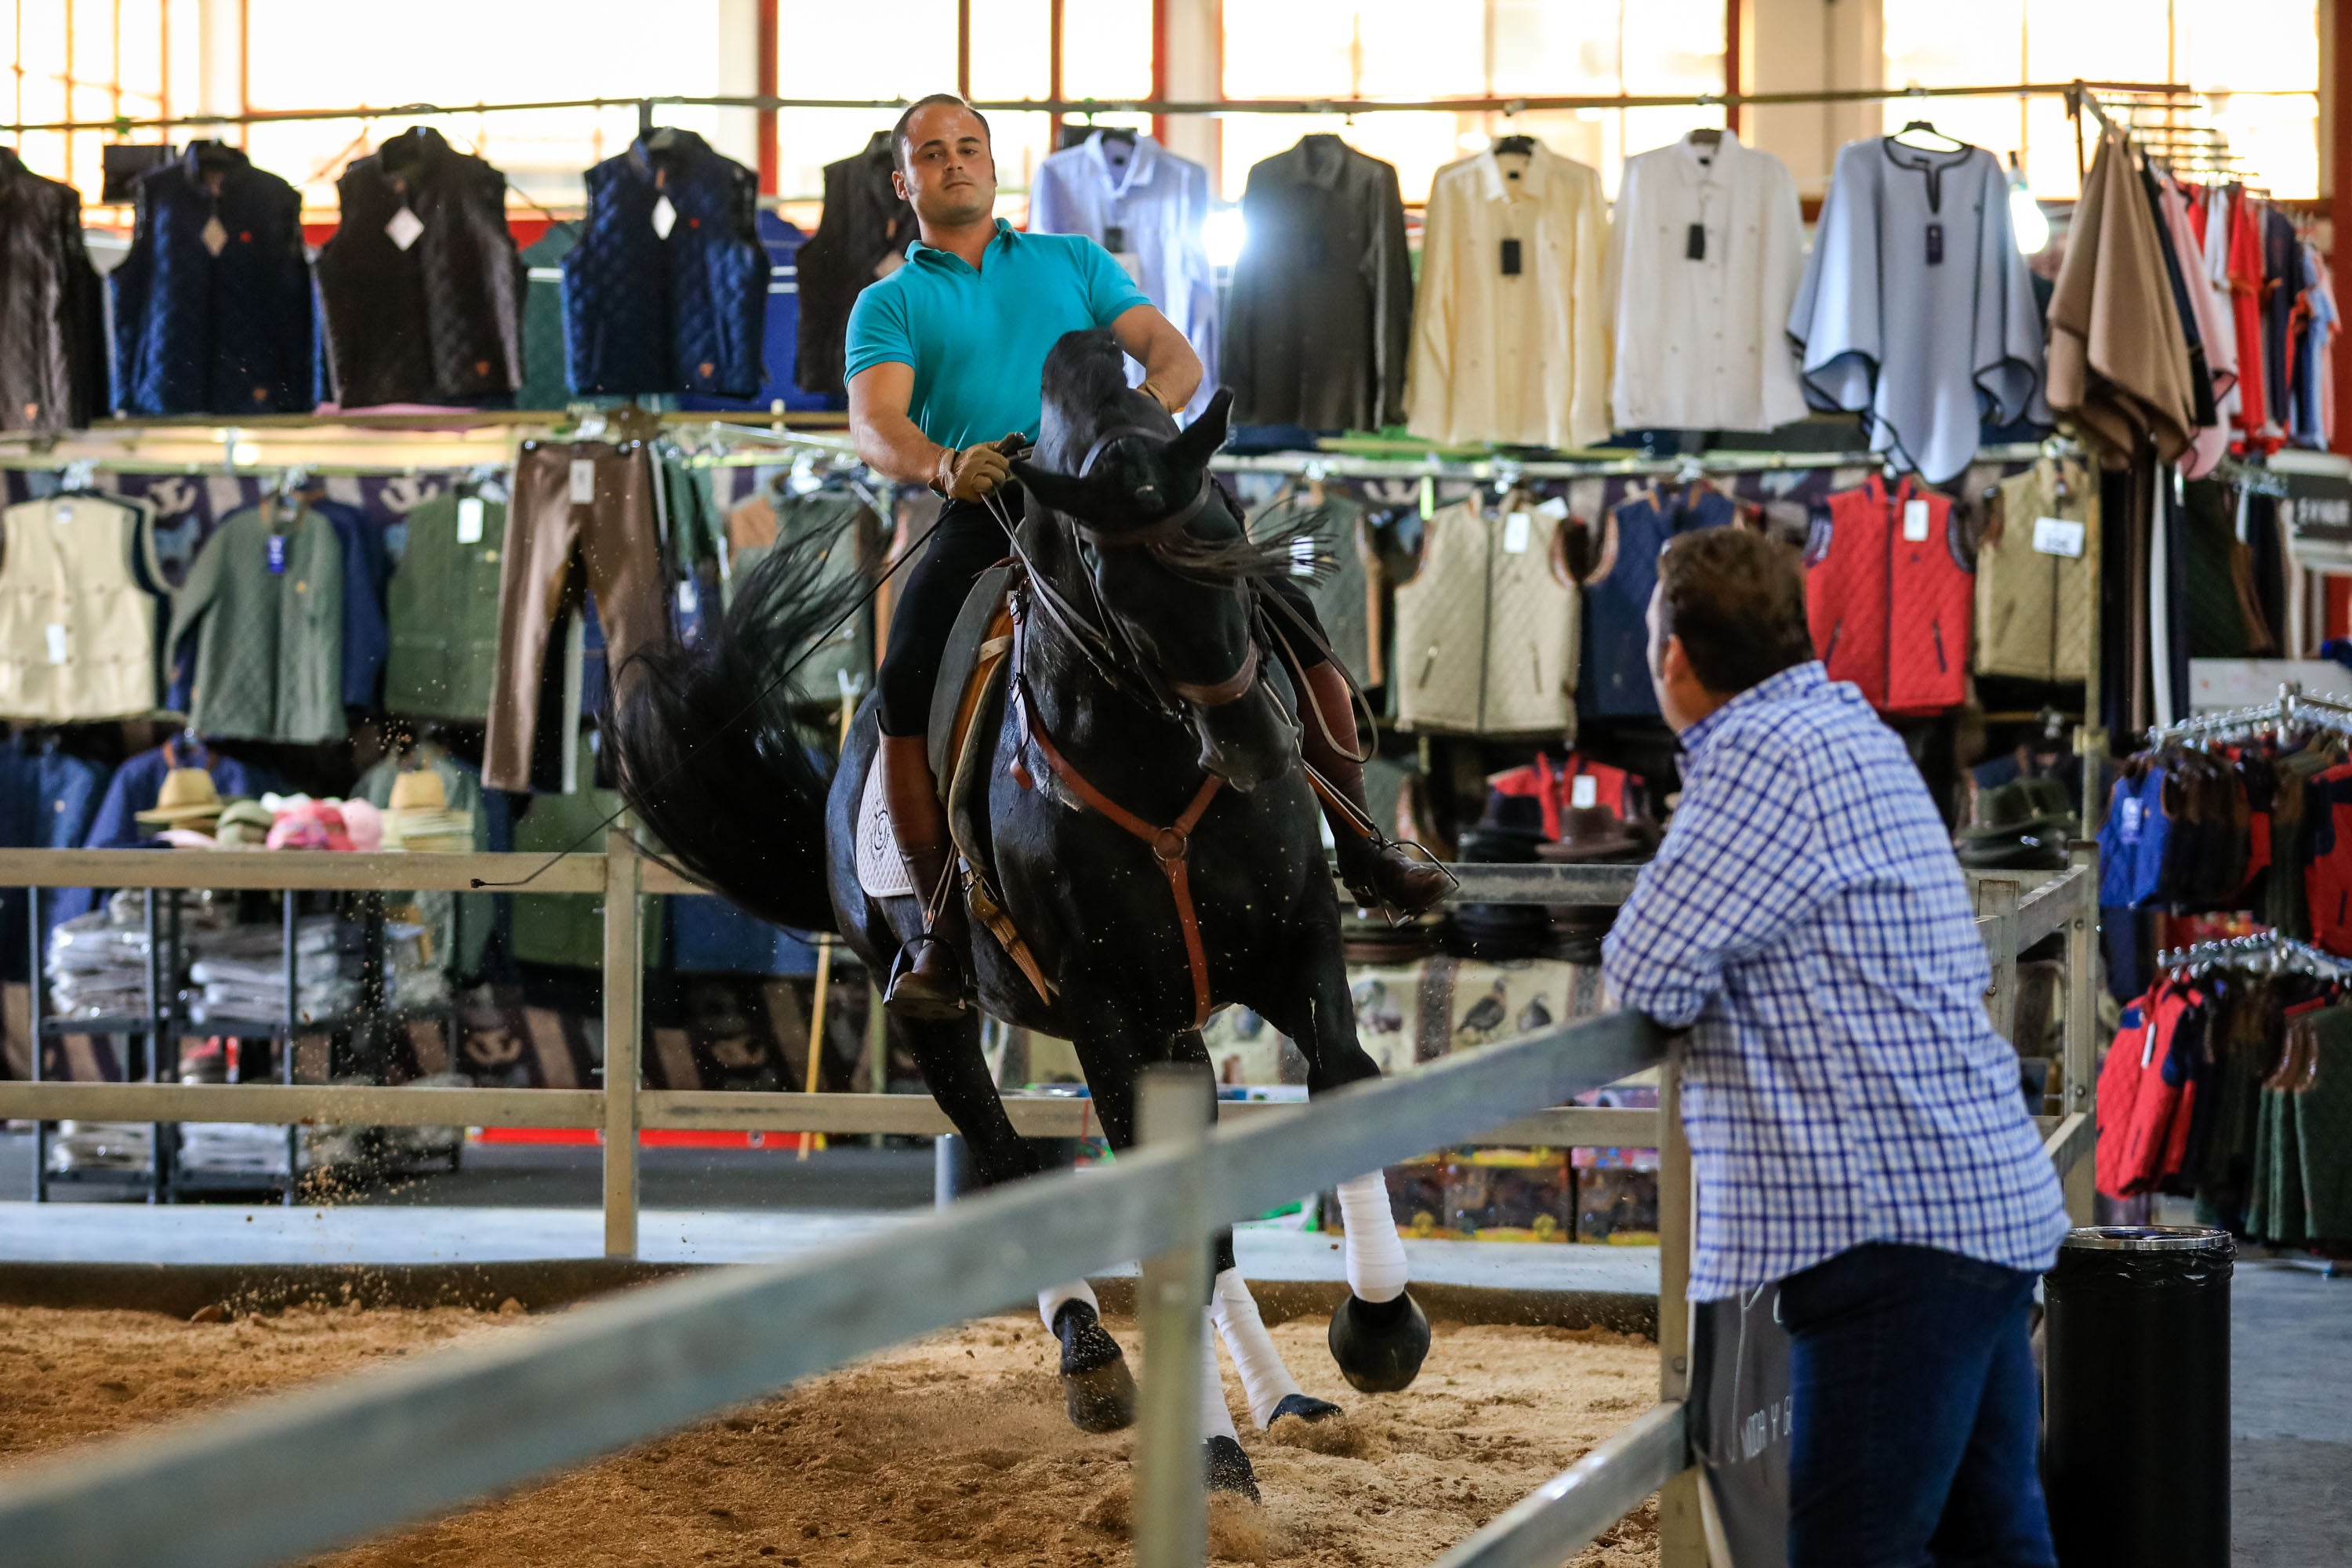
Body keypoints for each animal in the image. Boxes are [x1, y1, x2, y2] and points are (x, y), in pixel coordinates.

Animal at [616, 328, 1421, 1495]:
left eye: (1229, 536)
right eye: (1114, 580)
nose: (1260, 748)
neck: (1154, 753)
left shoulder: (1292, 942)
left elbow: (1346, 1080)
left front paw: (1381, 1329)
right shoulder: (1100, 1005)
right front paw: (1213, 1460)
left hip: (1180, 1026)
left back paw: (1282, 1397)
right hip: (940, 1015)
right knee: (1000, 1161)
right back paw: (1094, 1358)